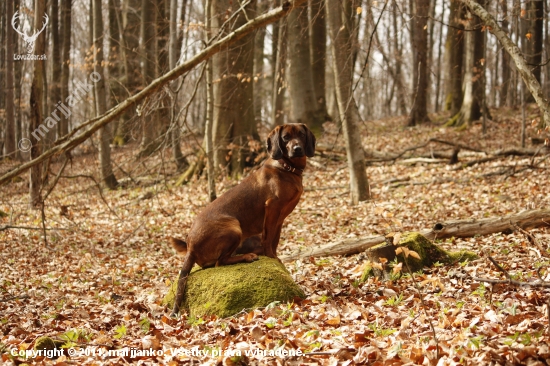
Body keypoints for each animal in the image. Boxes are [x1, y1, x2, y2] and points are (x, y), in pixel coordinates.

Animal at [170, 123, 316, 314]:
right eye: (285, 137)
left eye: (301, 135)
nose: (297, 149)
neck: (286, 168)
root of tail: (190, 247)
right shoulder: (272, 208)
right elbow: (268, 240)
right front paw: (272, 258)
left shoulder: (280, 218)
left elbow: (275, 240)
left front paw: (276, 258)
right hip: (233, 228)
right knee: (220, 262)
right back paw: (247, 256)